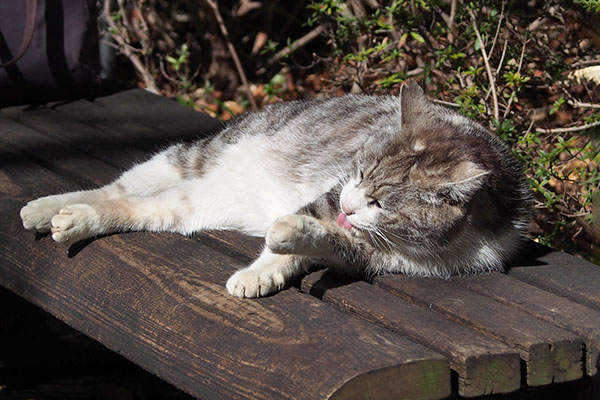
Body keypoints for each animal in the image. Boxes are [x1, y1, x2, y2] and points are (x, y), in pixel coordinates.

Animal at [17, 80, 528, 296]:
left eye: (381, 201)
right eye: (358, 172)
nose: (349, 205)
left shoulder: (368, 255)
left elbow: (314, 244)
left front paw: (283, 249)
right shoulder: (327, 197)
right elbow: (298, 229)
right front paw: (264, 264)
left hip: (194, 206)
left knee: (134, 207)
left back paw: (67, 219)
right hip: (187, 159)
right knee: (115, 189)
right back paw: (51, 209)